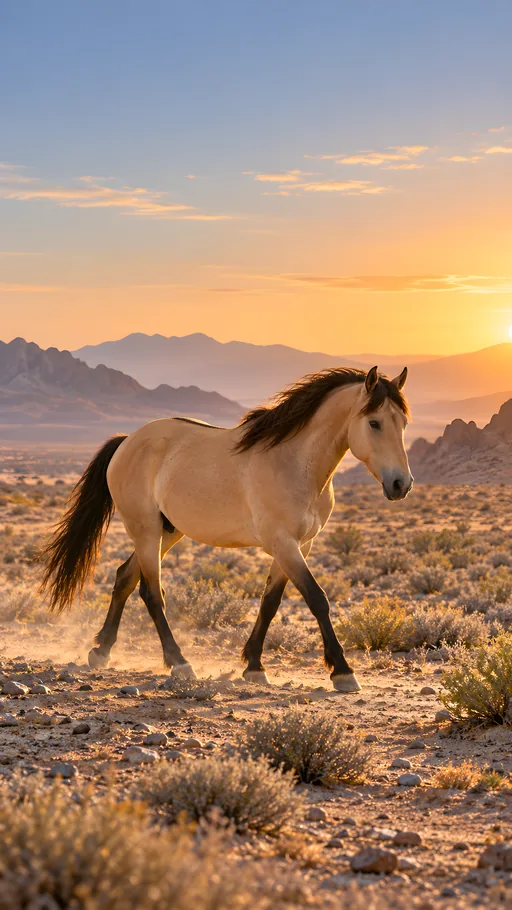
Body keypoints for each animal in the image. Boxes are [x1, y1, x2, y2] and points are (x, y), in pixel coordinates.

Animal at [40, 364, 412, 692]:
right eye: (374, 423)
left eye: (404, 423)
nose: (401, 485)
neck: (295, 463)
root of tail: (127, 440)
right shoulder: (283, 543)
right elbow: (317, 599)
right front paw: (343, 672)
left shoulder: (298, 546)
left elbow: (270, 602)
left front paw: (254, 666)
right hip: (145, 530)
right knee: (151, 591)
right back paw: (179, 662)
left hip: (168, 531)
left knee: (124, 578)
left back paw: (101, 650)